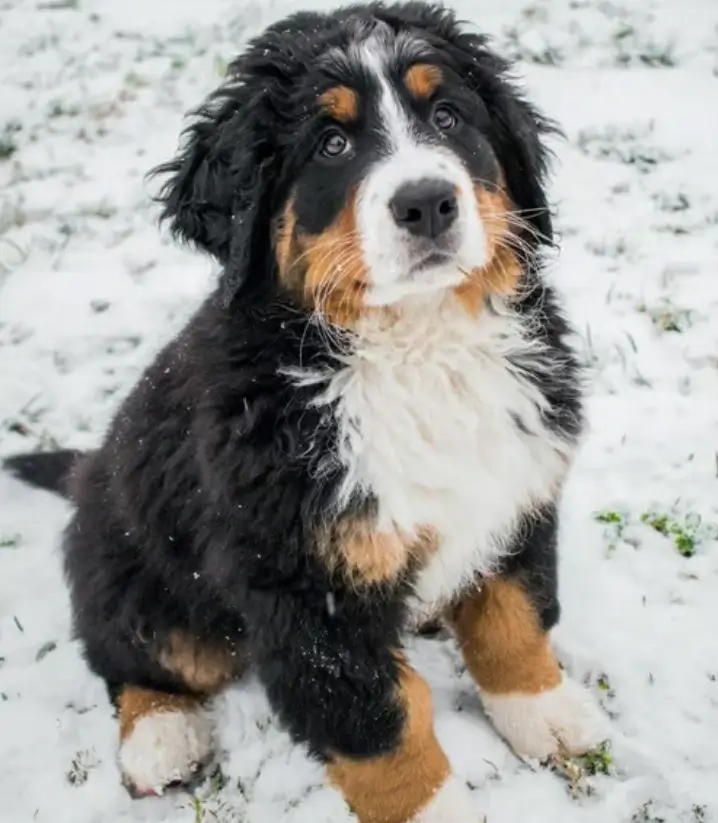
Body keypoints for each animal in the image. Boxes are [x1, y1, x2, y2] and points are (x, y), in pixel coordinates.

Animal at [4, 3, 608, 820]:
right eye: (332, 143)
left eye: (448, 117)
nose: (427, 202)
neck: (416, 345)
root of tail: (85, 473)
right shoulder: (302, 583)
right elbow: (380, 722)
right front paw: (430, 803)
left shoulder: (516, 487)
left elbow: (513, 615)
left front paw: (544, 709)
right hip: (140, 578)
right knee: (127, 653)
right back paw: (161, 735)